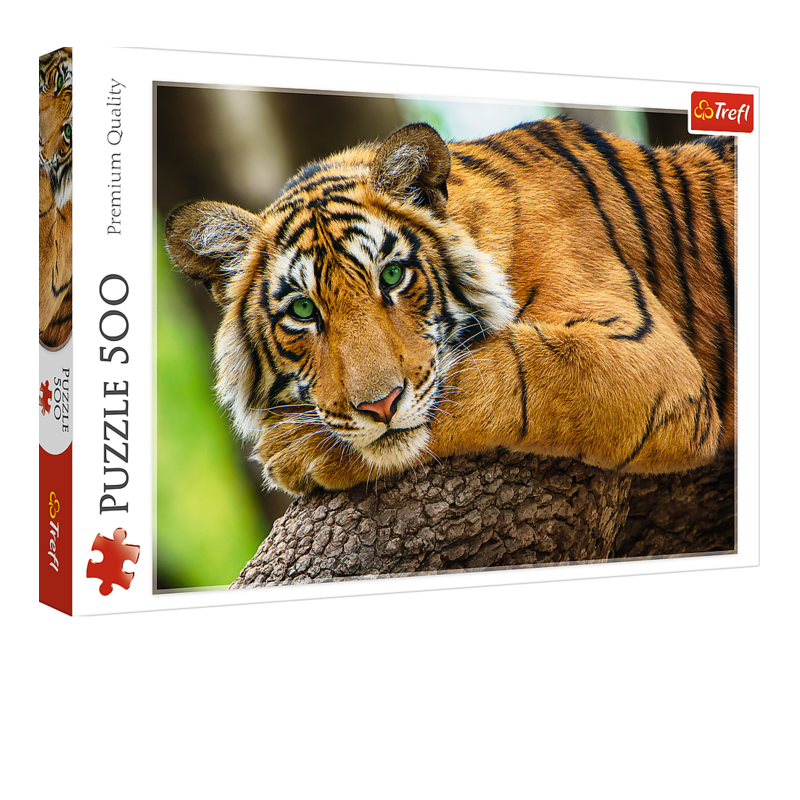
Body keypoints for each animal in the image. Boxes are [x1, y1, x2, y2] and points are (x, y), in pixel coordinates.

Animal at [165, 116, 736, 496]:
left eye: (392, 276)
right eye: (303, 312)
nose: (379, 406)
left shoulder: (647, 356)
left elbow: (501, 372)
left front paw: (293, 449)